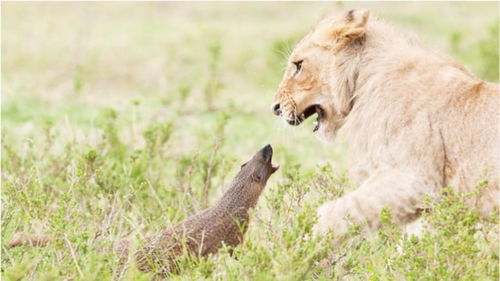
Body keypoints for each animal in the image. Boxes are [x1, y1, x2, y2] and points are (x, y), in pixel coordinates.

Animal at [272, 9, 498, 235]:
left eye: (298, 65)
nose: (275, 108)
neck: (362, 79)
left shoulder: (415, 180)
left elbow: (339, 211)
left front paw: (305, 238)